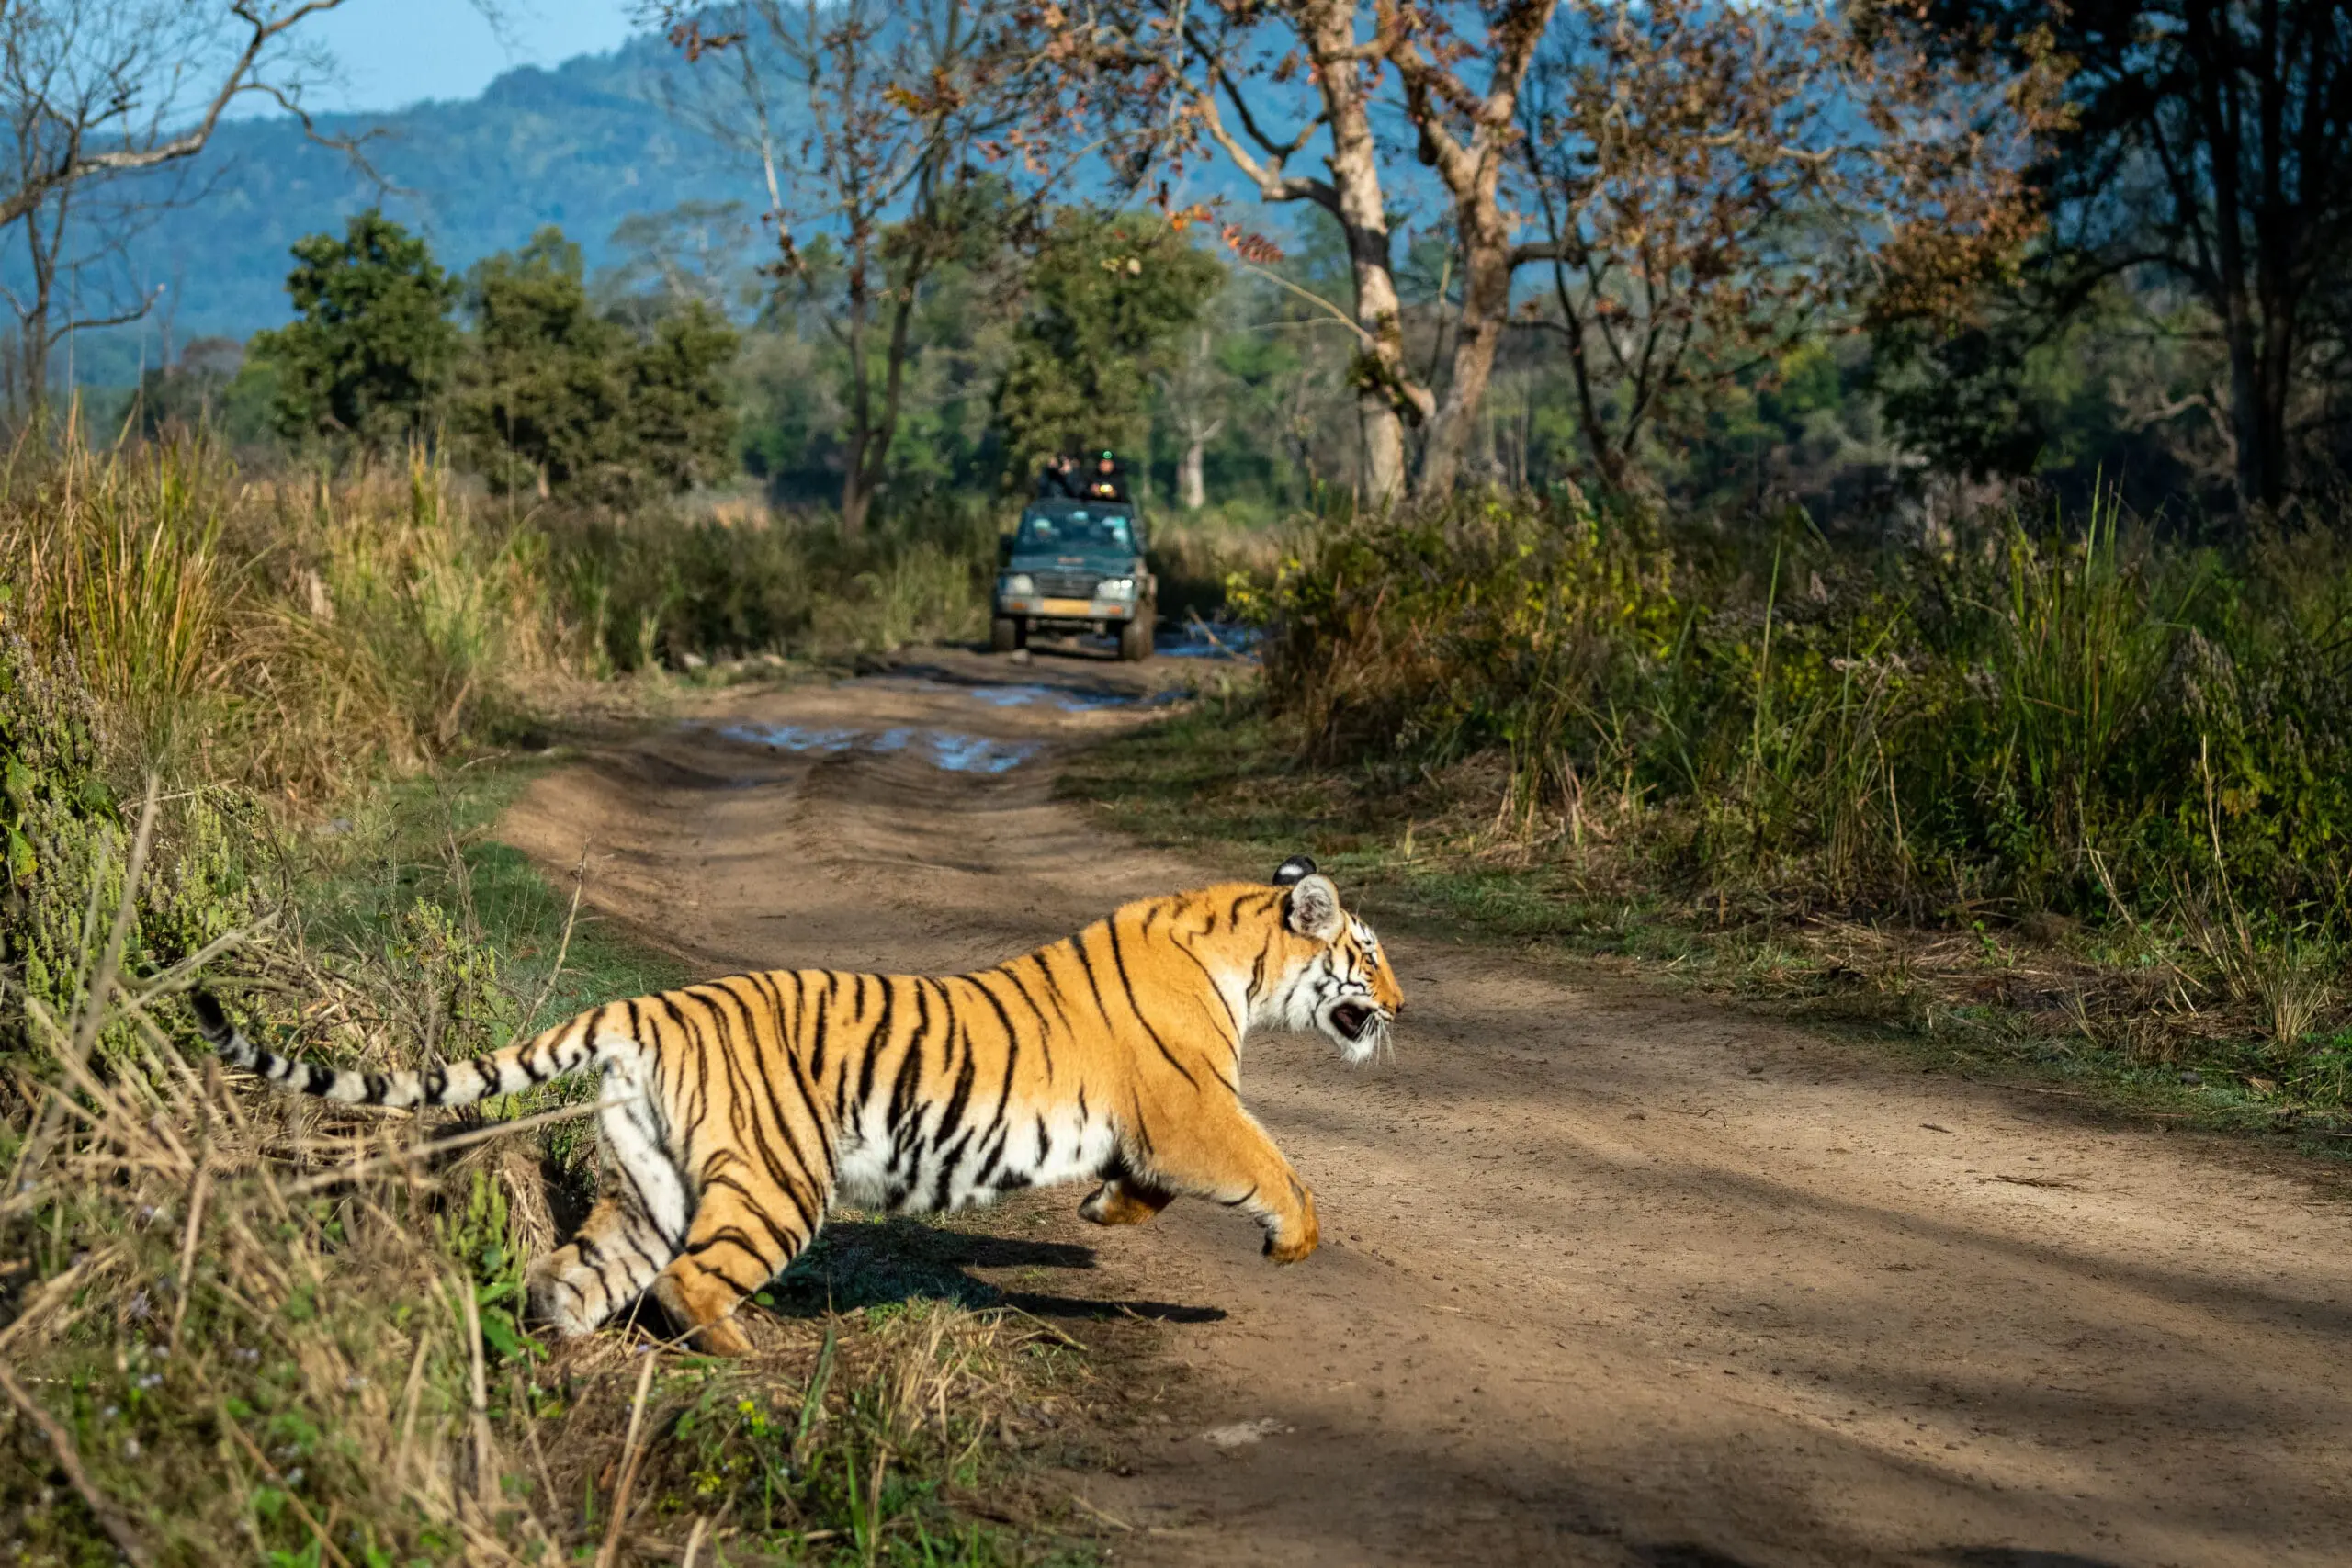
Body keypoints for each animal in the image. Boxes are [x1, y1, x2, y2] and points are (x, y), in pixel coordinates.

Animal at [190, 856, 1402, 1356]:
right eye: (1369, 955)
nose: (1400, 1005)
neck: (1242, 960)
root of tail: (647, 1003)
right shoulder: (1193, 1109)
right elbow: (1273, 1164)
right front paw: (1294, 1242)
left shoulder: (1156, 1126)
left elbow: (1147, 1186)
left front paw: (1105, 1215)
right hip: (778, 1178)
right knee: (686, 1281)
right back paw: (749, 1358)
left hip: (648, 1180)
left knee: (574, 1275)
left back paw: (564, 1354)